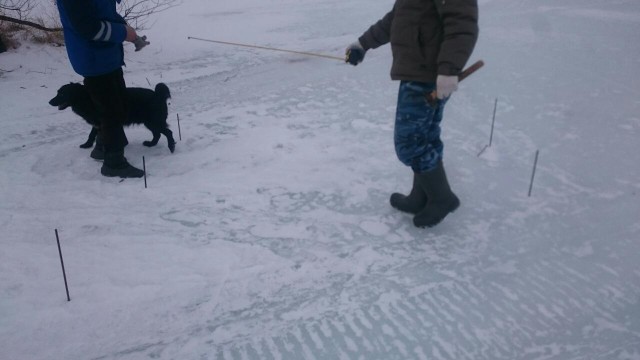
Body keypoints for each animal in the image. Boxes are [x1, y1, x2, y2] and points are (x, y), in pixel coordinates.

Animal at [48, 82, 176, 153]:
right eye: (58, 92)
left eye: (62, 94)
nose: (49, 102)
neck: (86, 98)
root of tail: (158, 95)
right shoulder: (97, 124)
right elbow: (91, 135)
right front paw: (87, 145)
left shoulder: (100, 123)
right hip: (149, 122)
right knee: (157, 134)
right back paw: (151, 144)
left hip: (153, 121)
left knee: (168, 132)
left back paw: (171, 147)